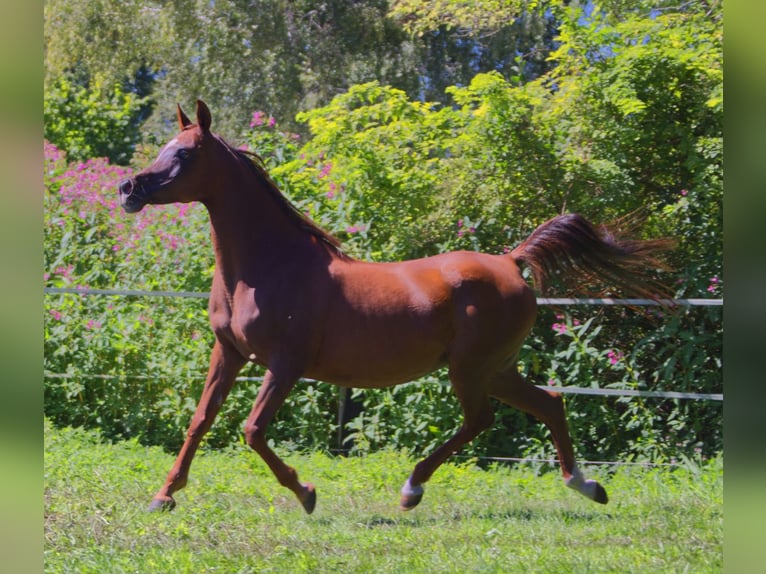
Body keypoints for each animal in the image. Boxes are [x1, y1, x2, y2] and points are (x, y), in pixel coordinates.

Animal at [118, 100, 670, 514]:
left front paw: (307, 493)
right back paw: (586, 486)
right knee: (549, 403)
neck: (268, 266)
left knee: (480, 420)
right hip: (495, 368)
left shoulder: (286, 364)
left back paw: (412, 489)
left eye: (185, 154)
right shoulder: (229, 353)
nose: (128, 188)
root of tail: (511, 262)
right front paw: (164, 496)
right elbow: (200, 420)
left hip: (470, 368)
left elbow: (253, 430)